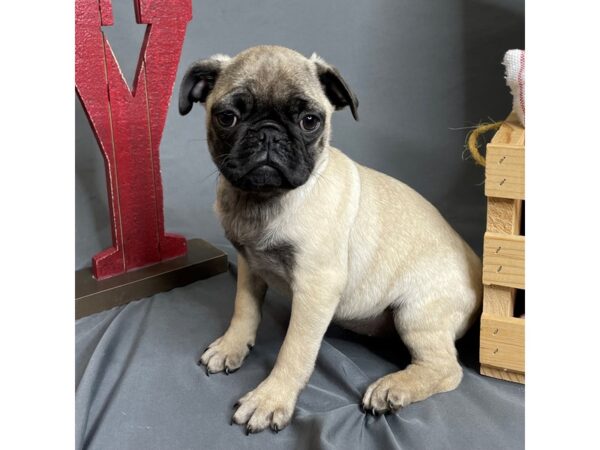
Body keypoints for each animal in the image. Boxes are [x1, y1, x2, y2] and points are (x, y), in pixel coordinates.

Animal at [178, 44, 482, 432]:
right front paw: (232, 346)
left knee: (446, 369)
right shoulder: (249, 265)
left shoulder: (316, 287)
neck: (264, 201)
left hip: (416, 312)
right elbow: (244, 310)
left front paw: (270, 398)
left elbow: (294, 350)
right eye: (227, 117)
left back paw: (392, 388)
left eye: (310, 121)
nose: (269, 134)